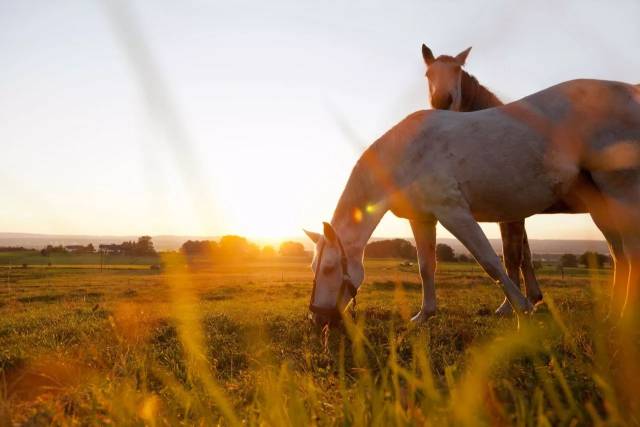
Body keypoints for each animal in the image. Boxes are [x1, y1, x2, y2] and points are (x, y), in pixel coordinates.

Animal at [304, 79, 640, 328]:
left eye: (331, 268)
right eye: (313, 267)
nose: (319, 318)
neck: (407, 154)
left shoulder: (455, 213)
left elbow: (490, 261)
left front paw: (523, 309)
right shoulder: (422, 218)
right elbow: (426, 267)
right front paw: (423, 315)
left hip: (621, 193)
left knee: (630, 255)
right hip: (602, 206)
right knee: (619, 257)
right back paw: (613, 316)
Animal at [422, 44, 544, 318]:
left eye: (457, 70)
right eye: (428, 74)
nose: (442, 102)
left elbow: (512, 255)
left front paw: (509, 307)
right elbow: (523, 252)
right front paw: (532, 298)